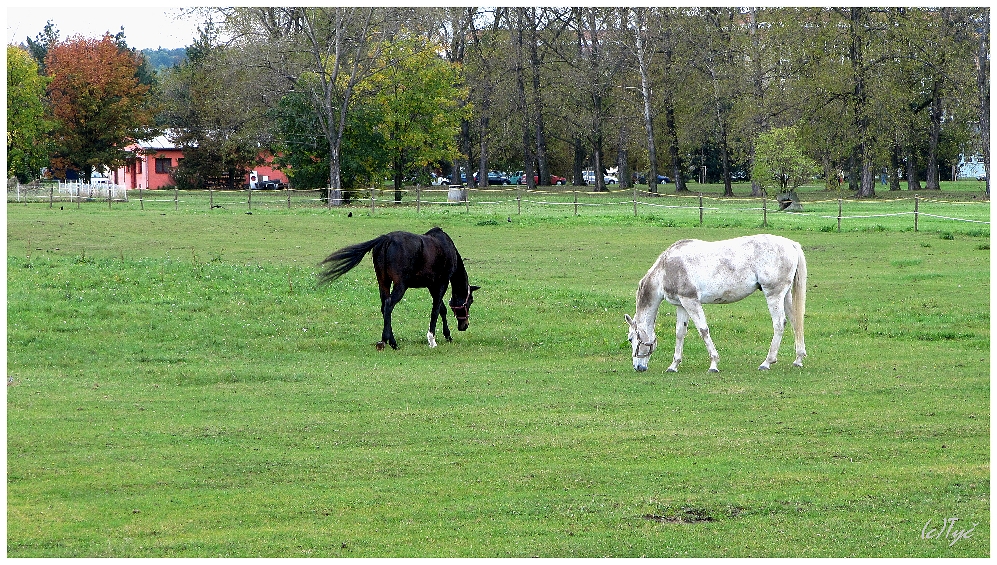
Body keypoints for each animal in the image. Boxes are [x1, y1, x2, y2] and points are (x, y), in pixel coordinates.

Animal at [318, 227, 476, 350]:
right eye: (470, 301)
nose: (465, 325)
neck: (446, 247)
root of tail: (386, 239)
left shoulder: (432, 286)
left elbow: (442, 309)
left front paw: (448, 335)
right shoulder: (441, 283)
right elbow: (436, 310)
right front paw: (432, 340)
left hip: (383, 283)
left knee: (384, 307)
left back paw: (389, 341)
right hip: (400, 285)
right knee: (389, 305)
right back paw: (388, 342)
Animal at [628, 232, 804, 370]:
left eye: (630, 338)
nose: (638, 367)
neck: (666, 269)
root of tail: (791, 244)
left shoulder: (691, 302)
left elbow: (703, 330)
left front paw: (713, 363)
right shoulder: (682, 305)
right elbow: (680, 332)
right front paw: (674, 365)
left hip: (774, 295)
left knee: (779, 324)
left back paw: (767, 362)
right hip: (785, 295)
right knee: (795, 321)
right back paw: (798, 359)